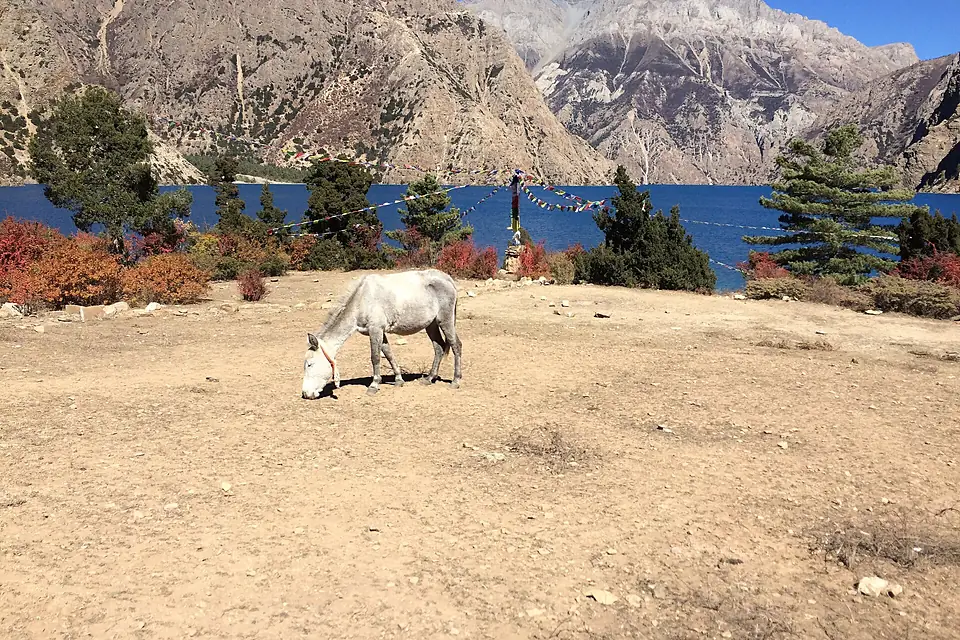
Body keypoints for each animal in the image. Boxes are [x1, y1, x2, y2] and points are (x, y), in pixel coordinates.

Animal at [301, 269, 463, 399]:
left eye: (309, 364)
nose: (305, 394)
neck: (362, 299)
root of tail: (448, 279)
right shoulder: (380, 332)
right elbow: (388, 353)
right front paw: (398, 380)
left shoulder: (376, 330)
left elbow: (375, 357)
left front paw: (374, 385)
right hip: (432, 325)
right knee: (439, 347)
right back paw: (429, 378)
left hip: (445, 321)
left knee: (456, 346)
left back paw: (455, 381)